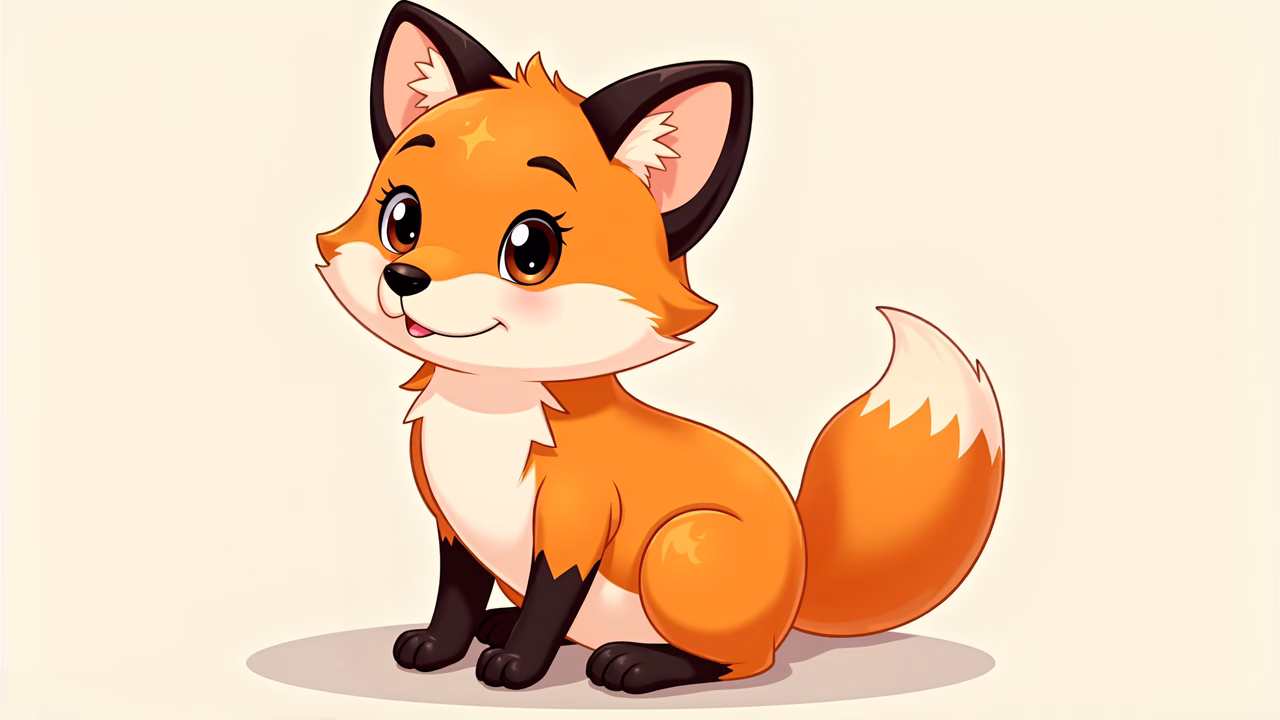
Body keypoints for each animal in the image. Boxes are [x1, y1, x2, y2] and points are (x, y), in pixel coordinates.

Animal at [316, 1, 1005, 695]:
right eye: (402, 220)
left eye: (531, 251)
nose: (405, 278)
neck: (487, 417)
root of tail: (799, 589)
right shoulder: (452, 526)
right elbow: (455, 597)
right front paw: (439, 647)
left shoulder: (574, 522)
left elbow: (549, 601)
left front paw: (519, 667)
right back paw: (505, 625)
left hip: (682, 546)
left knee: (738, 662)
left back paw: (634, 662)